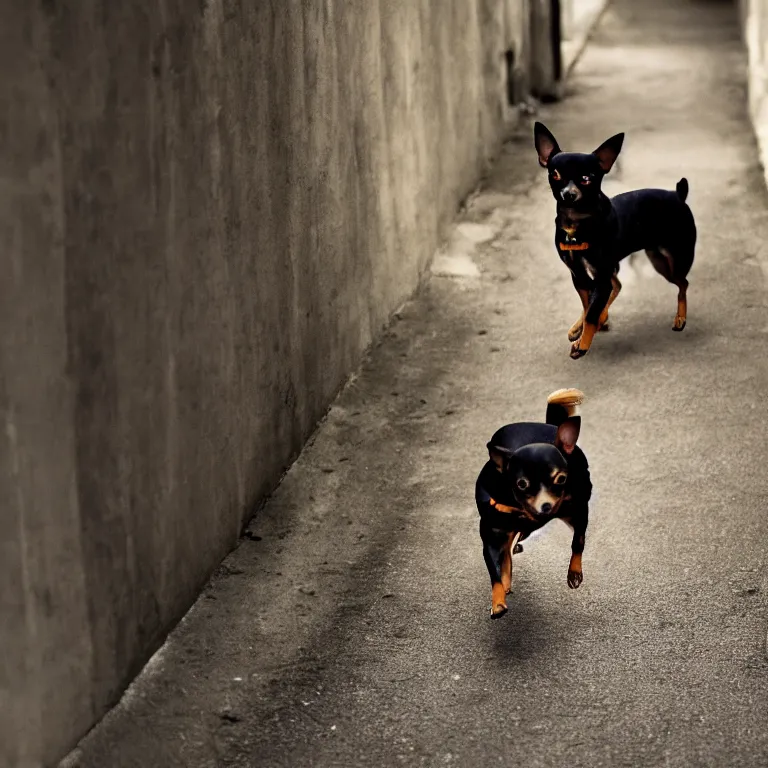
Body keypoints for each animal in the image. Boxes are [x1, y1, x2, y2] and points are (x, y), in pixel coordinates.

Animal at [474, 390, 592, 616]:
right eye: (521, 484)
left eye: (561, 479)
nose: (546, 506)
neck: (521, 511)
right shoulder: (492, 539)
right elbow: (495, 573)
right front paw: (498, 602)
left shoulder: (579, 511)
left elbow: (578, 542)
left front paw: (574, 573)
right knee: (508, 551)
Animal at [536, 121, 696, 360]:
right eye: (555, 174)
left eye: (587, 178)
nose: (568, 194)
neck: (577, 225)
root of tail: (678, 196)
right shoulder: (579, 276)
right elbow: (587, 307)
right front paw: (584, 329)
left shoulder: (599, 277)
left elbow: (591, 313)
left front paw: (583, 344)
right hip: (655, 260)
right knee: (618, 286)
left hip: (674, 262)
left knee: (682, 283)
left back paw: (681, 318)